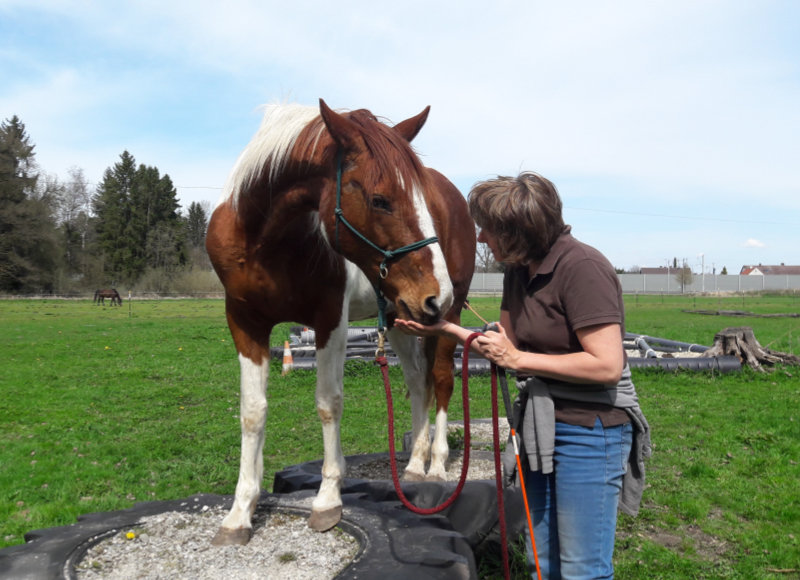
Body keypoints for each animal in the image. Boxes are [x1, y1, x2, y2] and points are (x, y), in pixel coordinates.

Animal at [205, 99, 475, 545]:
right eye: (380, 200)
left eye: (424, 203)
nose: (439, 293)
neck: (266, 240)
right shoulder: (244, 322)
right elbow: (252, 411)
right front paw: (240, 512)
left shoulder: (330, 319)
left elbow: (328, 403)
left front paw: (328, 499)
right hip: (402, 319)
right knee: (417, 380)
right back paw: (414, 464)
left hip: (441, 322)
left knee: (440, 379)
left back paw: (436, 463)